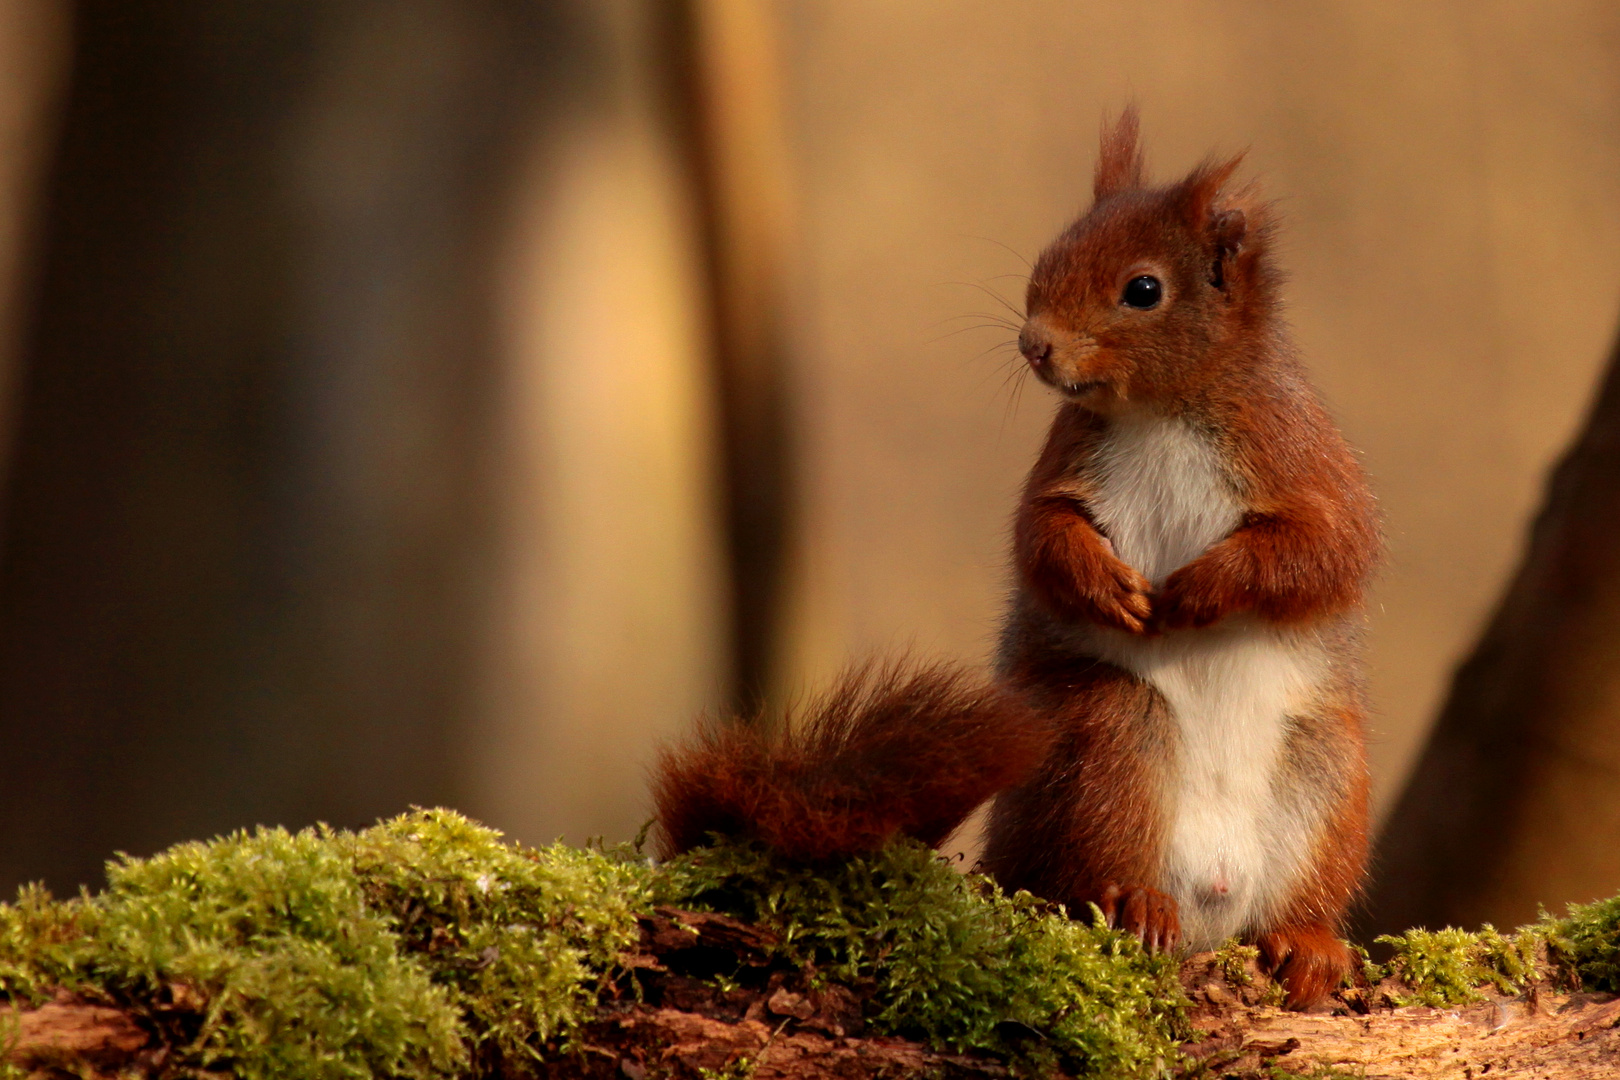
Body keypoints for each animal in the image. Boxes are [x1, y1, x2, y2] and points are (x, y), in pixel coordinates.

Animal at [648, 105, 1380, 1010]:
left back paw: (1307, 942)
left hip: (1328, 774)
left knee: (1302, 884)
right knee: (1093, 866)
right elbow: (1041, 539)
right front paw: (1107, 587)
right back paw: (1139, 903)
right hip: (1107, 741)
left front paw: (1200, 589)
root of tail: (1212, 902)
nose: (1036, 346)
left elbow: (1324, 550)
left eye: (1144, 289)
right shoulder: (1062, 468)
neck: (1160, 411)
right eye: (1046, 260)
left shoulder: (1300, 457)